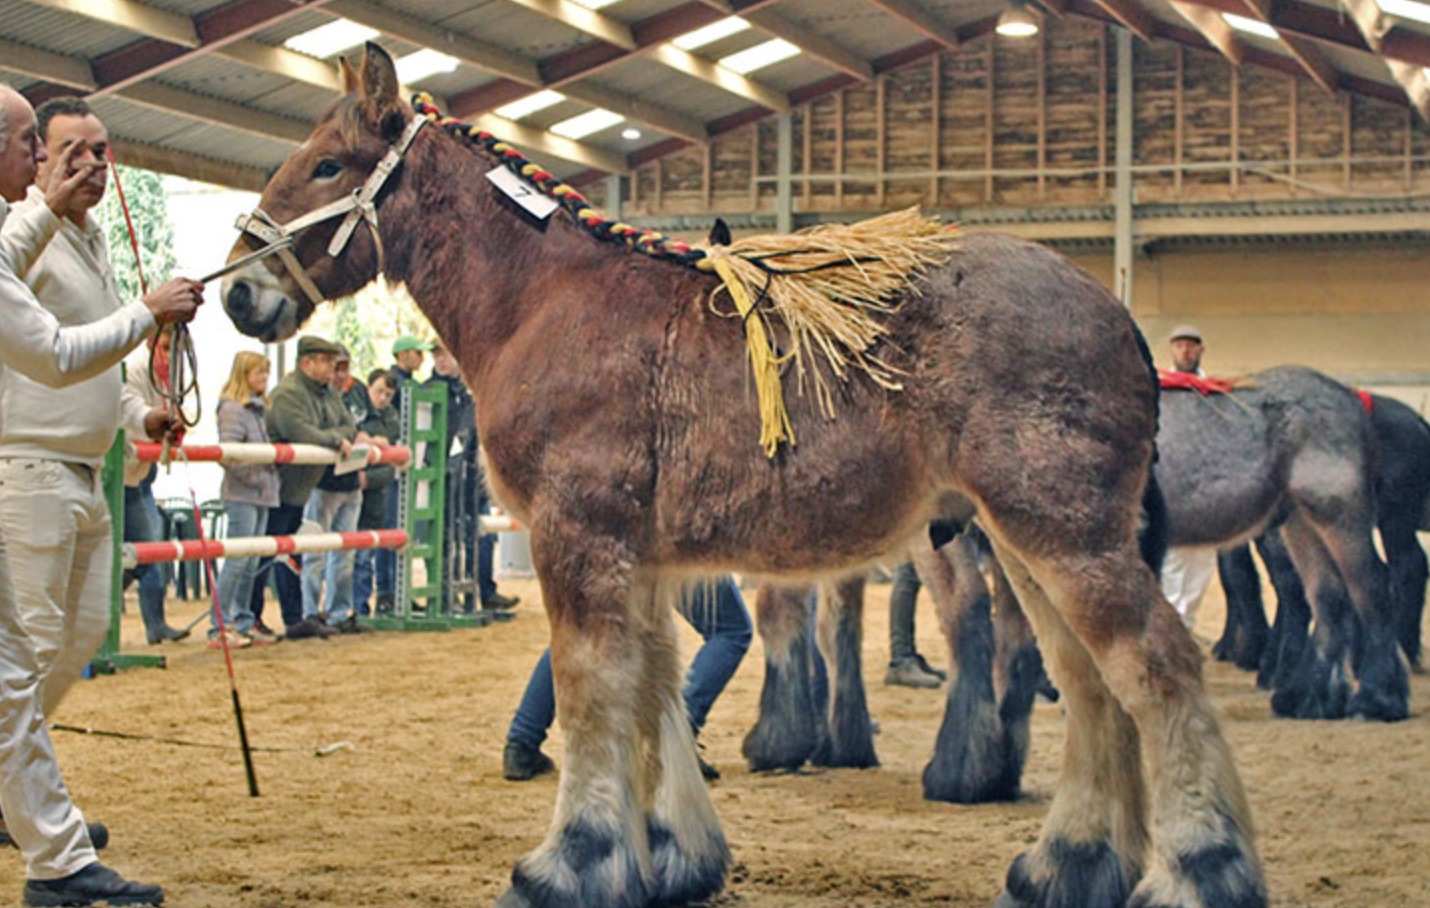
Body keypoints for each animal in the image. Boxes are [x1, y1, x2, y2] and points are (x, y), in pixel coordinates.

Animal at [211, 46, 1264, 908]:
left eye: (329, 165)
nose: (239, 293)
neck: (551, 302)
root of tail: (1117, 317)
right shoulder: (639, 561)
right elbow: (653, 689)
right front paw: (672, 856)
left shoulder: (577, 538)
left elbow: (591, 688)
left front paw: (569, 865)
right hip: (1026, 543)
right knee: (1088, 687)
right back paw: (1066, 867)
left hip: (1060, 538)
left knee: (1155, 670)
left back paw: (1201, 872)